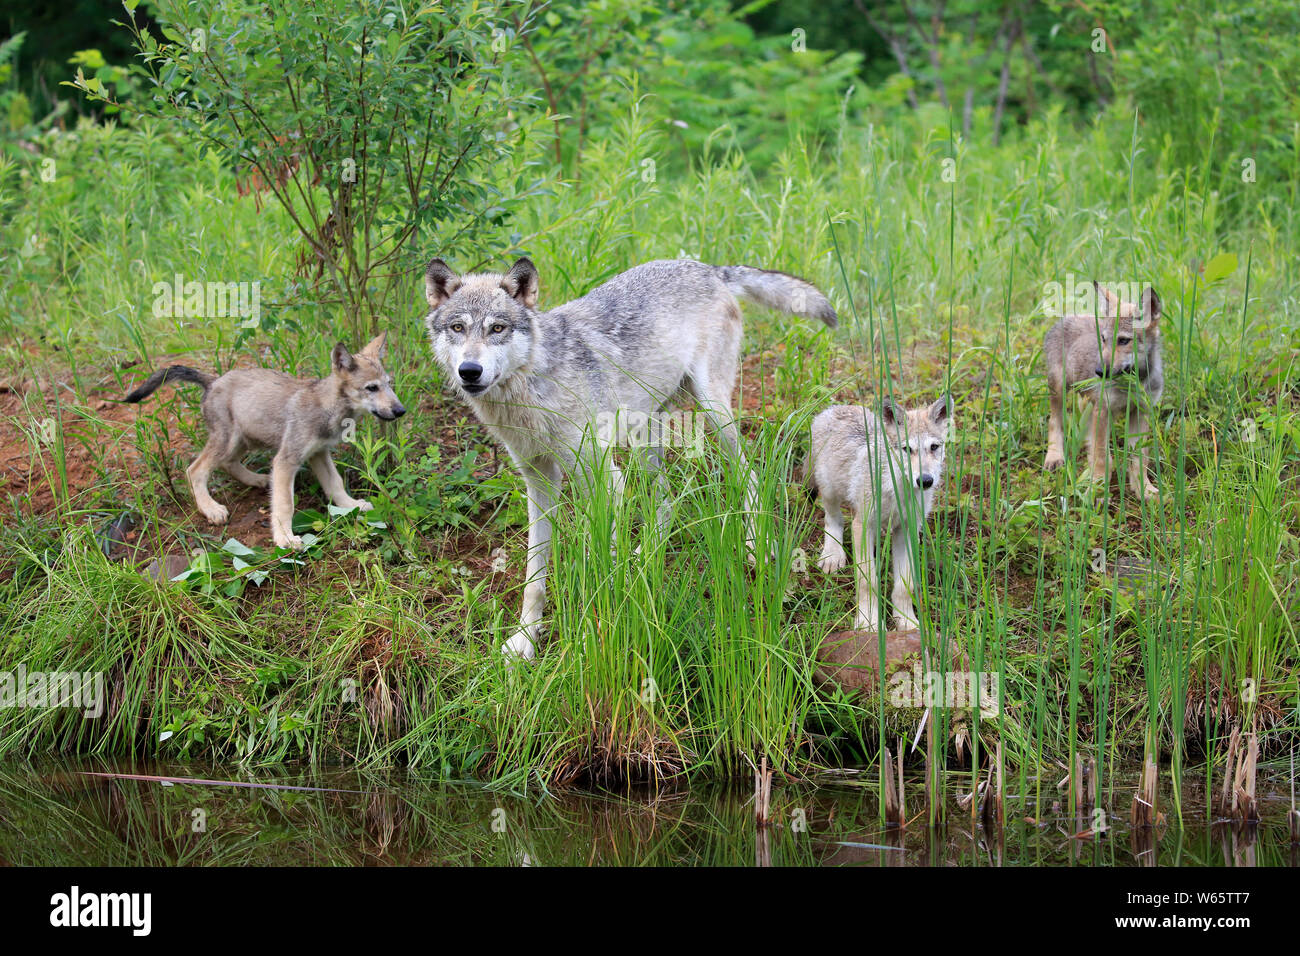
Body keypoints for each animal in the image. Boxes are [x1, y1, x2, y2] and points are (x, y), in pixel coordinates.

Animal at [127, 335, 403, 546]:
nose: (401, 410)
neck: (328, 406)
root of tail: (213, 381)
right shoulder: (286, 460)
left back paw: (257, 480)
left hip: (246, 439)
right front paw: (285, 538)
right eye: (371, 388)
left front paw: (350, 505)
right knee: (195, 470)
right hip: (228, 440)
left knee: (228, 463)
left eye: (390, 384)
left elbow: (335, 484)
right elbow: (285, 505)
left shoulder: (318, 453)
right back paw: (211, 508)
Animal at [421, 254, 837, 660]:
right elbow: (534, 577)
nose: (469, 371)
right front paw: (525, 640)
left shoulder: (605, 480)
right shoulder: (539, 479)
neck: (536, 386)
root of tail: (708, 267)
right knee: (666, 502)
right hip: (644, 435)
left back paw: (754, 546)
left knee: (749, 475)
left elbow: (596, 569)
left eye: (497, 328)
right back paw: (641, 559)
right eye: (457, 328)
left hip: (713, 413)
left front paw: (591, 638)